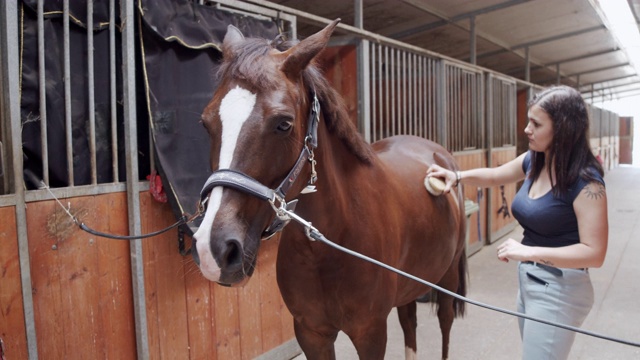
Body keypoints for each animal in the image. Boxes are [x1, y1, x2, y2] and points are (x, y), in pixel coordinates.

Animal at [192, 19, 468, 360]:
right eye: (206, 123)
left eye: (284, 123)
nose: (214, 249)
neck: (329, 244)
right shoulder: (312, 333)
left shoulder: (370, 333)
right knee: (409, 323)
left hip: (447, 278)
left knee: (445, 324)